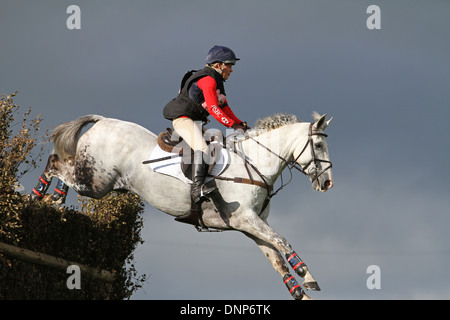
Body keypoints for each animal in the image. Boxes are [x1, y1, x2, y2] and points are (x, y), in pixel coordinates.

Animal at [32, 112, 334, 300]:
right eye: (319, 145)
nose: (328, 183)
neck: (255, 162)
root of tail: (103, 121)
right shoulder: (245, 219)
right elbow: (283, 241)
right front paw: (308, 277)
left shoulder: (252, 227)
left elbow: (278, 259)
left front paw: (303, 292)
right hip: (97, 183)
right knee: (56, 163)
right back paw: (42, 199)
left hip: (98, 179)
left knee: (64, 165)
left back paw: (52, 200)